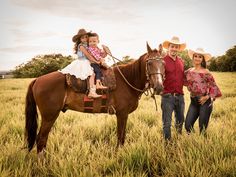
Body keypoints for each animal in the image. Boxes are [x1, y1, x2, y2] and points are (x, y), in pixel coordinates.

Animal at [24, 43, 165, 154]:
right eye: (149, 63)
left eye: (163, 63)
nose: (159, 86)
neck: (128, 80)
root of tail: (37, 79)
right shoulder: (122, 114)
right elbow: (120, 138)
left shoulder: (123, 115)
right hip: (49, 116)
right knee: (41, 139)